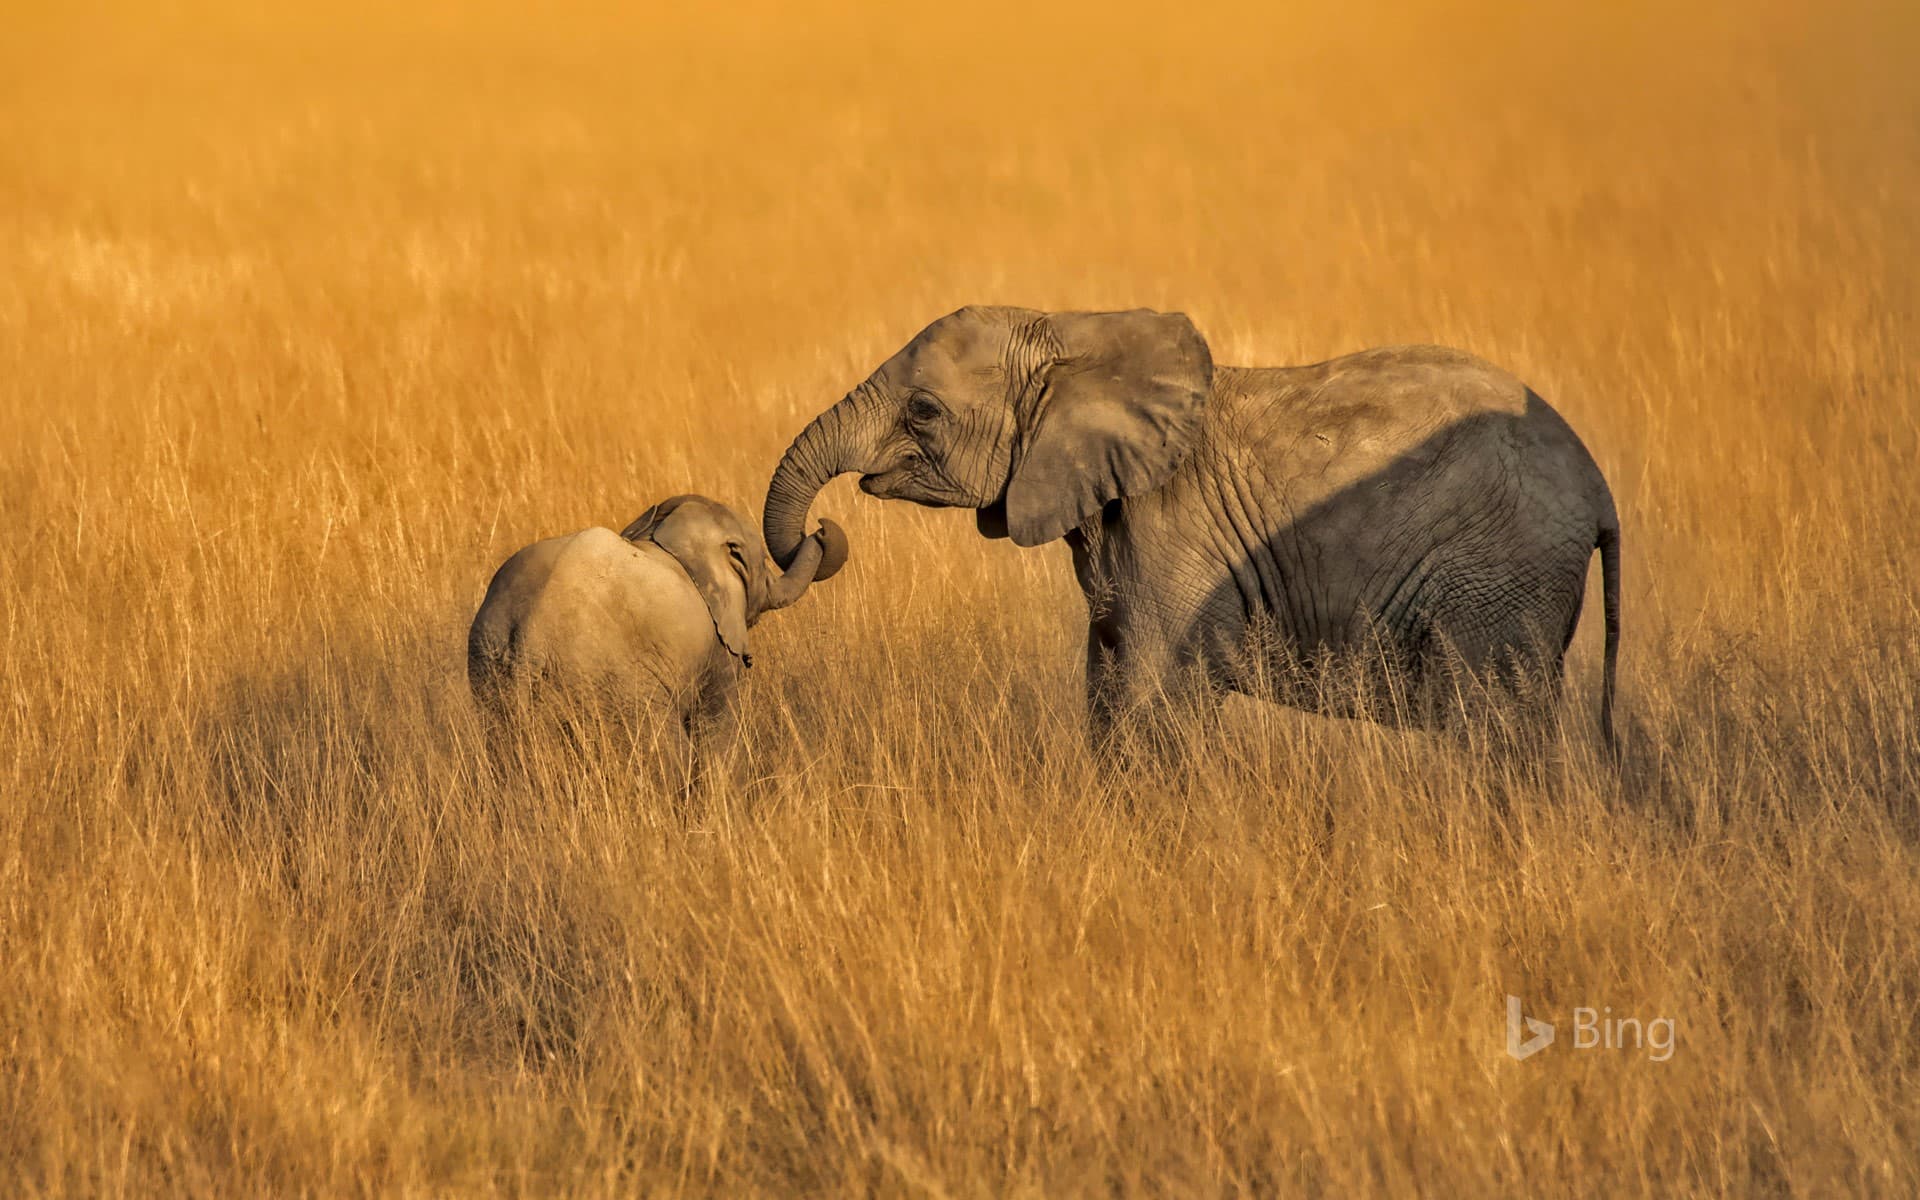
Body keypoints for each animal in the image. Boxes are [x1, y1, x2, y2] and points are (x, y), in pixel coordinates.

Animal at [468, 495, 848, 761]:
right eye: (762, 562)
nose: (821, 527)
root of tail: (531, 635)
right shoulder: (718, 648)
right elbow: (718, 729)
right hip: (614, 686)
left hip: (490, 667)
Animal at [763, 306, 1620, 750]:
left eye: (924, 412)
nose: (822, 535)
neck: (1073, 336)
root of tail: (1598, 487)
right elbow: (1107, 679)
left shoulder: (1173, 531)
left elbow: (1150, 693)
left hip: (1498, 576)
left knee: (1489, 729)